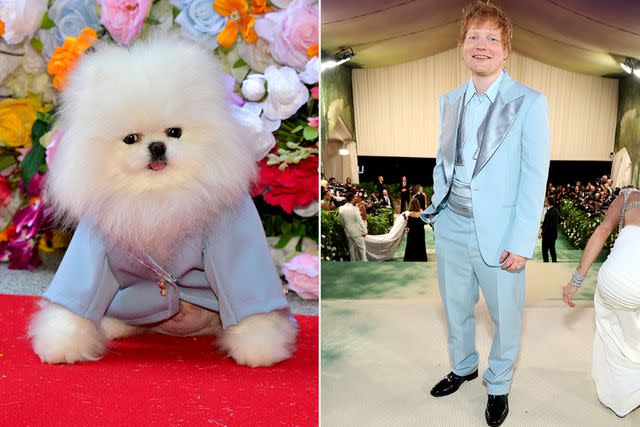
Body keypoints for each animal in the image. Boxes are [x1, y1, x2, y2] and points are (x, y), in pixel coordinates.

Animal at [28, 34, 298, 368]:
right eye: (131, 139)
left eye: (174, 132)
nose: (157, 146)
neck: (158, 195)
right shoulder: (94, 249)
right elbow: (76, 301)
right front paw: (61, 345)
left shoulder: (231, 240)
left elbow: (247, 299)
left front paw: (260, 349)